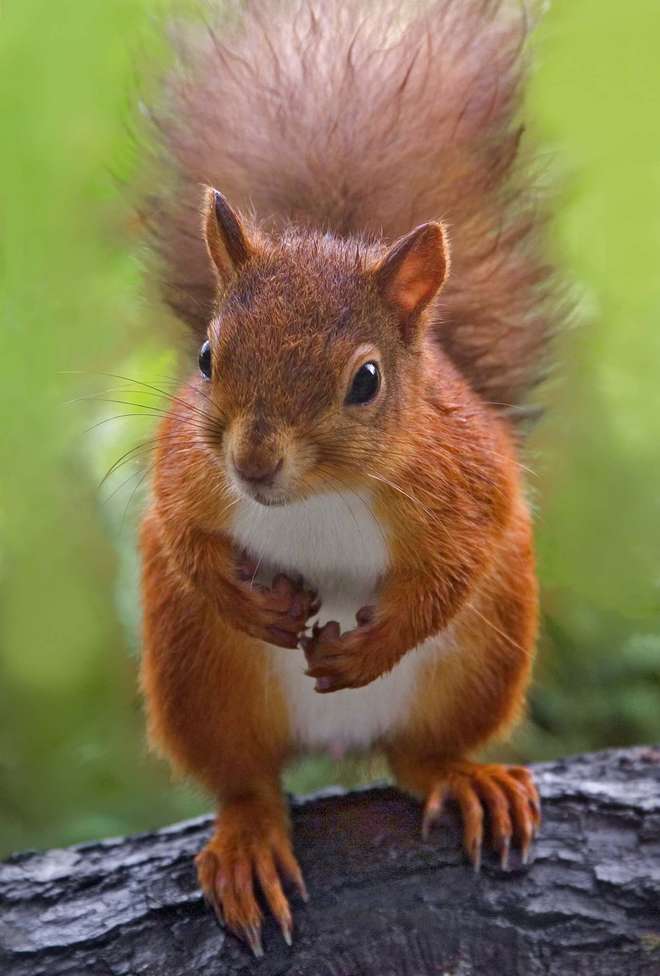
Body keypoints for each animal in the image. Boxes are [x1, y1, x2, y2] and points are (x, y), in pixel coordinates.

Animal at [139, 0, 556, 958]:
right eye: (206, 357)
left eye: (366, 380)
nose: (253, 462)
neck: (317, 498)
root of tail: (339, 740)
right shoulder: (184, 469)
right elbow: (184, 539)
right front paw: (251, 599)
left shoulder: (471, 482)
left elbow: (449, 575)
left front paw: (368, 645)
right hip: (196, 676)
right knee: (245, 781)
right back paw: (248, 843)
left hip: (486, 655)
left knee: (420, 755)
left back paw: (466, 779)